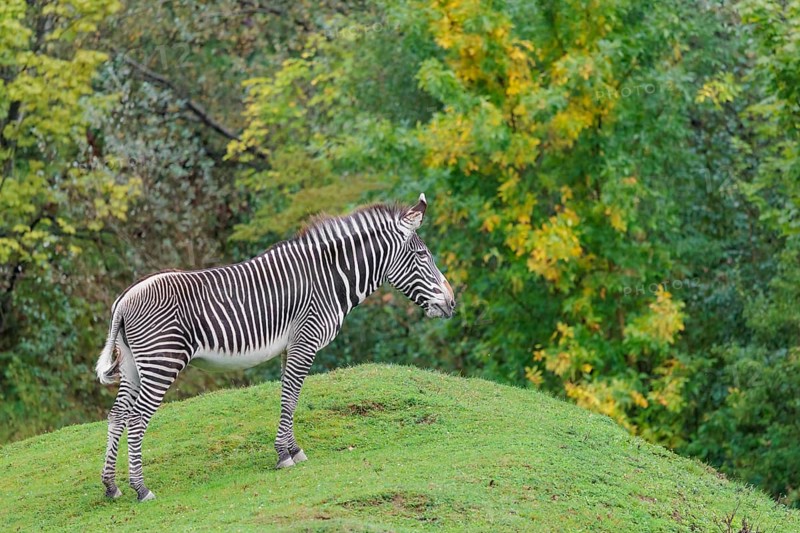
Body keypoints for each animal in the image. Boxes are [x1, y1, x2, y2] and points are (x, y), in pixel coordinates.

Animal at [95, 194, 455, 501]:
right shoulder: (305, 339)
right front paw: (284, 454)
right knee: (137, 418)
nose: (452, 303)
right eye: (423, 256)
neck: (328, 279)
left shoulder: (290, 346)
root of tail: (123, 301)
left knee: (117, 416)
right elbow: (291, 396)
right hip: (162, 362)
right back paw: (141, 488)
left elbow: (289, 395)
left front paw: (292, 449)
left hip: (133, 366)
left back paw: (111, 486)